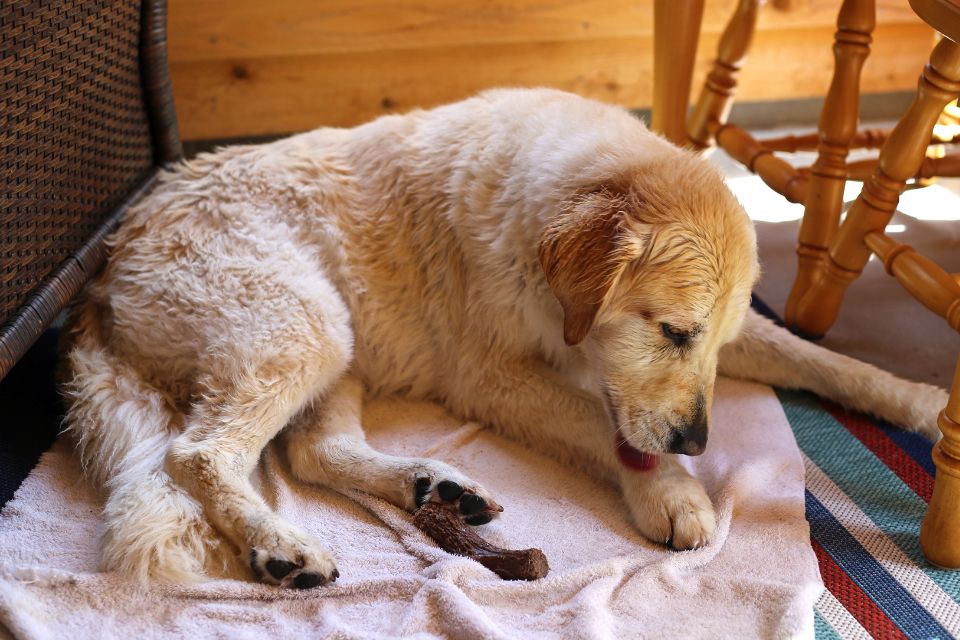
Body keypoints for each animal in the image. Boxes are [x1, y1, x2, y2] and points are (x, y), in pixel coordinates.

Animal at [62, 87, 952, 588]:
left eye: (712, 342)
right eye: (673, 332)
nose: (699, 442)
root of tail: (109, 264)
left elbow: (819, 357)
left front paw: (917, 397)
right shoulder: (493, 377)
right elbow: (602, 424)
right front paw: (671, 492)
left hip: (336, 344)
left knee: (310, 453)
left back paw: (432, 487)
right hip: (303, 328)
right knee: (200, 455)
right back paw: (281, 543)